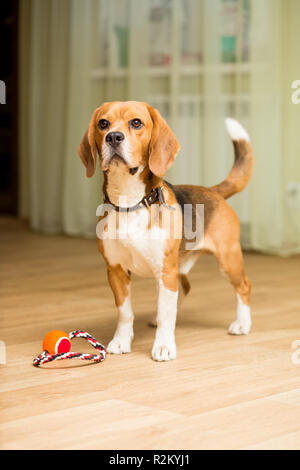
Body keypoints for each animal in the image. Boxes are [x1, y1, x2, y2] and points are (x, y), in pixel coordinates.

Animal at [79, 101, 253, 362]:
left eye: (136, 123)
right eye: (103, 124)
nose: (113, 137)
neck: (131, 202)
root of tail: (213, 191)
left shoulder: (165, 269)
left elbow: (165, 313)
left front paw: (163, 346)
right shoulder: (116, 270)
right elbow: (125, 312)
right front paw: (121, 341)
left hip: (227, 259)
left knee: (243, 286)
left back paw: (242, 323)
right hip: (179, 268)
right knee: (181, 291)